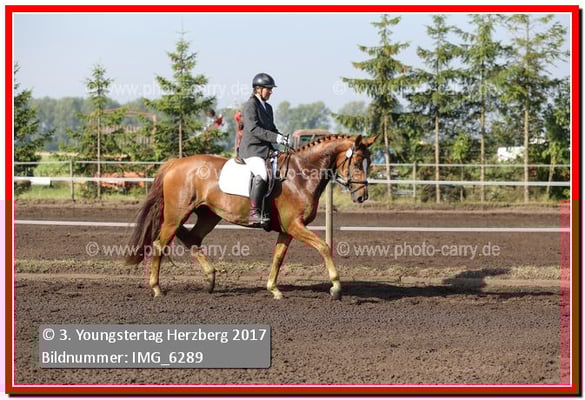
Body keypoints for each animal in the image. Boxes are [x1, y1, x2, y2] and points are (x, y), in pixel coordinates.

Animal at [125, 134, 377, 300]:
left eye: (369, 163)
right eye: (356, 163)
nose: (362, 196)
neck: (301, 175)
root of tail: (174, 163)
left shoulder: (287, 230)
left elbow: (278, 257)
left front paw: (273, 289)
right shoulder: (294, 226)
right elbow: (324, 247)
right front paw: (336, 288)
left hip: (208, 215)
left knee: (191, 238)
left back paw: (211, 280)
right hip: (176, 215)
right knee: (160, 244)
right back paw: (157, 289)